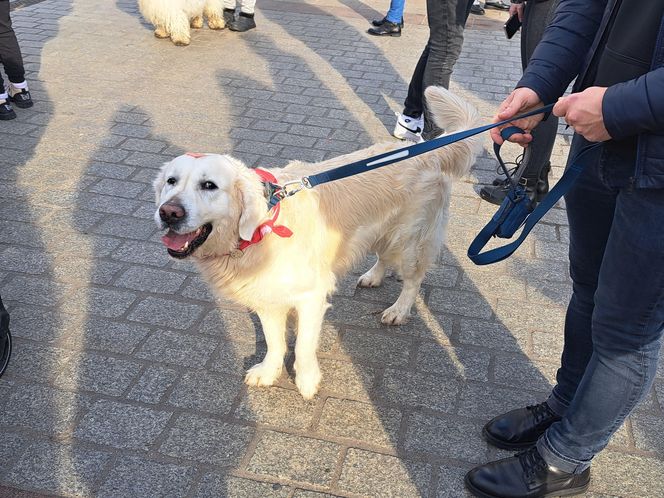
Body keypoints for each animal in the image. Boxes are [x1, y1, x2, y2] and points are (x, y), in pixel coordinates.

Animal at [153, 85, 480, 396]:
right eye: (171, 181)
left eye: (209, 185)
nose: (168, 212)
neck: (260, 229)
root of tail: (428, 150)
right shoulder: (266, 294)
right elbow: (274, 341)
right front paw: (269, 371)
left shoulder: (311, 296)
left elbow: (302, 345)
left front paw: (307, 380)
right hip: (380, 229)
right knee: (383, 256)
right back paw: (373, 276)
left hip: (410, 237)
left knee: (413, 279)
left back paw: (398, 310)